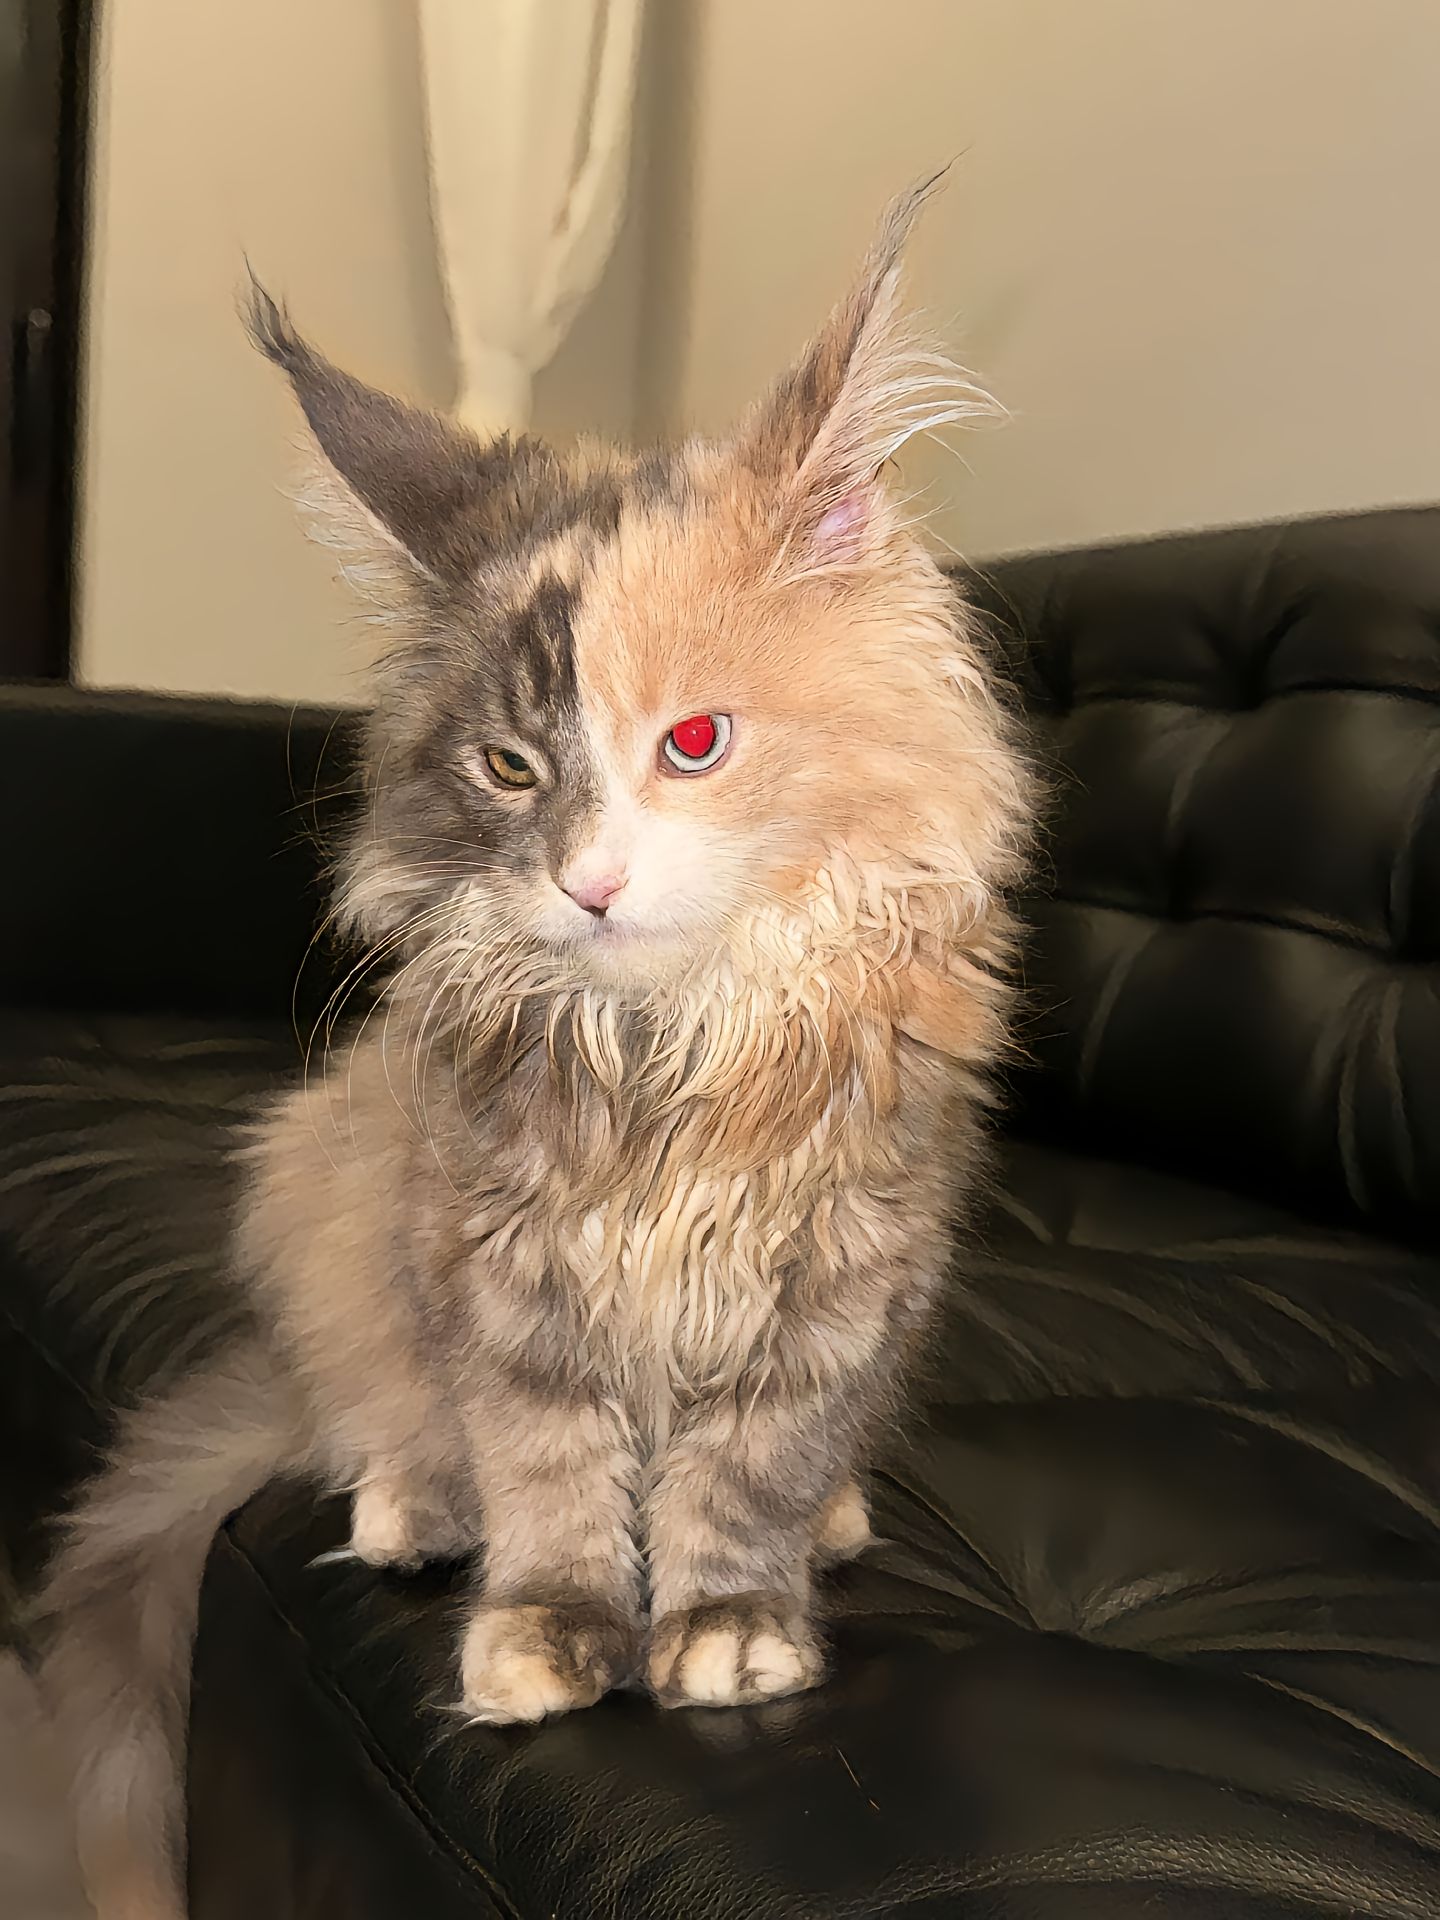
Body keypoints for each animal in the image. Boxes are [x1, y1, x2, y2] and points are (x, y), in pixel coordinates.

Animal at [36, 181, 1031, 1920]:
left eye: (692, 743)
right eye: (508, 767)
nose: (588, 881)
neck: (664, 1057)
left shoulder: (841, 1279)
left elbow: (751, 1469)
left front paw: (726, 1626)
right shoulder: (497, 1270)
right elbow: (547, 1468)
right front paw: (549, 1629)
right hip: (323, 1188)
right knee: (378, 1415)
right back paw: (412, 1509)